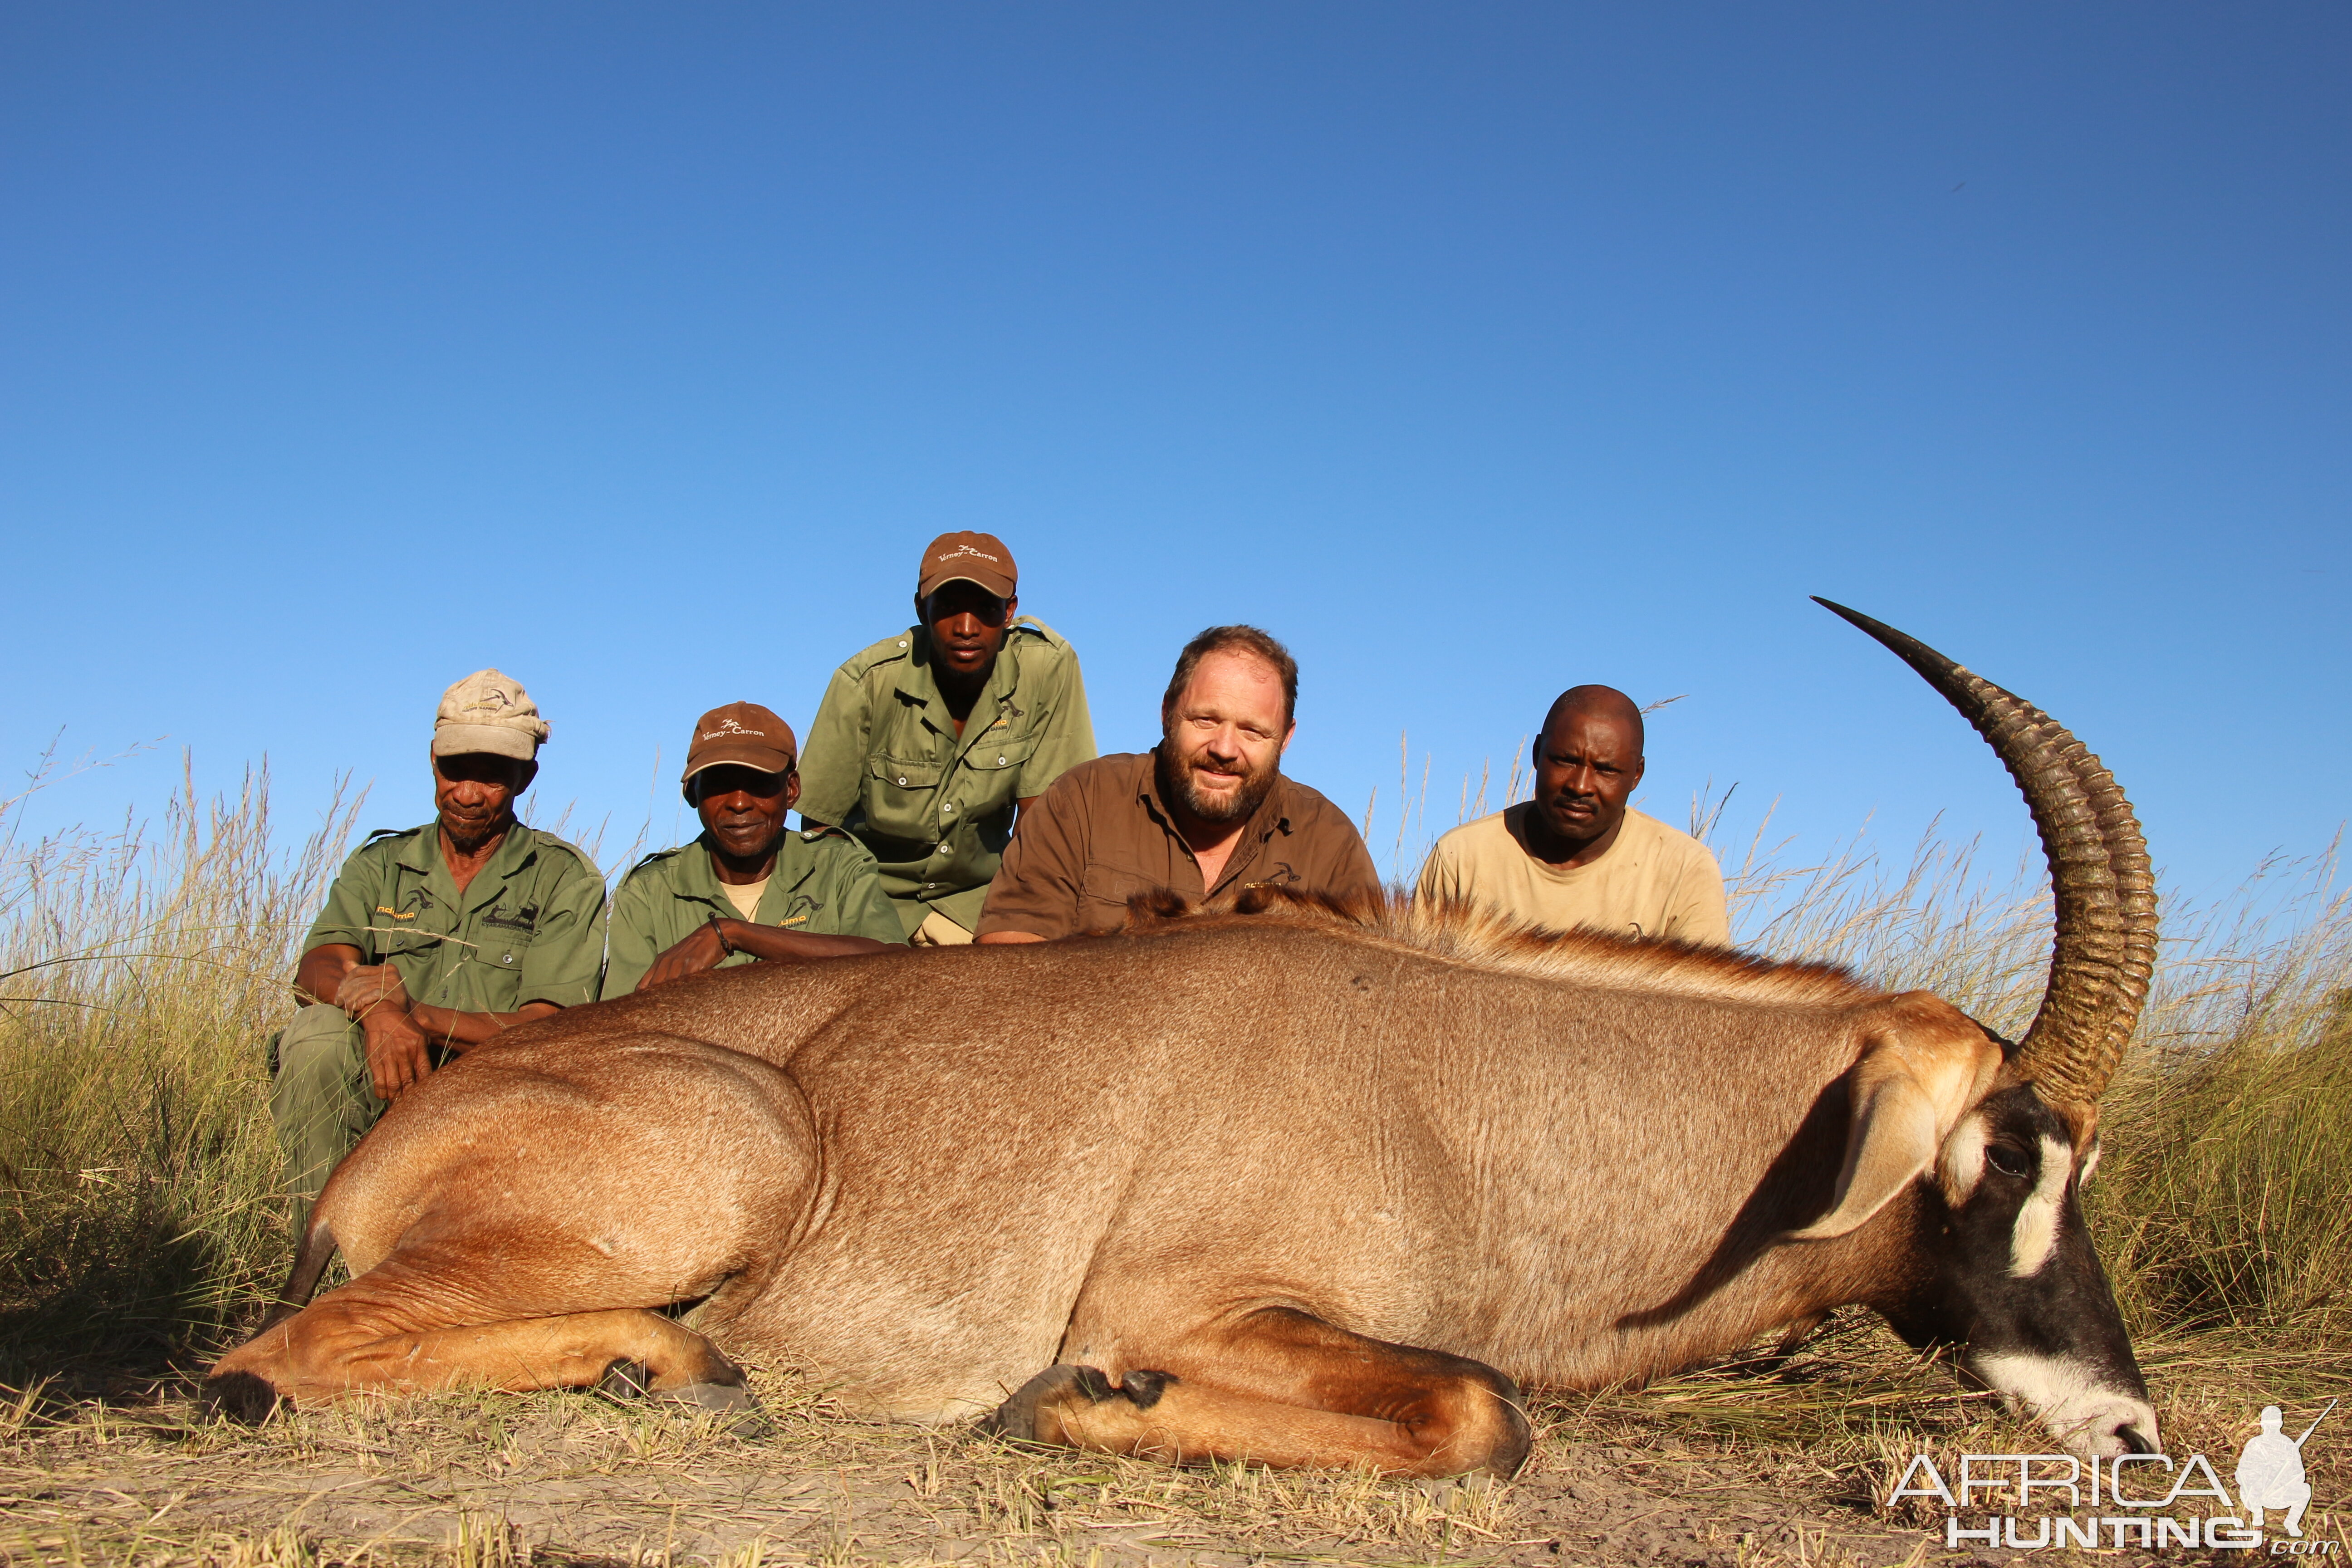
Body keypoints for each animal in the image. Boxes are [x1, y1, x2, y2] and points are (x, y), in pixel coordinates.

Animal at [211, 597, 2154, 1476]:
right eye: (2002, 1157)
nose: (2135, 1435)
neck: (1453, 1082)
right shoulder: (1184, 1298)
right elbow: (1481, 1410)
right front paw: (1074, 1402)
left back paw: (662, 1363)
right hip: (730, 1160)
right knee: (269, 1359)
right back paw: (665, 1360)